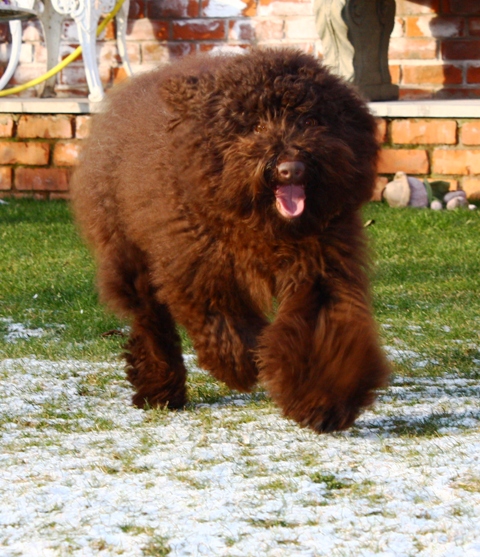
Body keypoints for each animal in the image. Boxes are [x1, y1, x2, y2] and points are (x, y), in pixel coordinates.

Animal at [72, 47, 390, 432]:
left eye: (311, 121)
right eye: (255, 126)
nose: (291, 168)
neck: (264, 224)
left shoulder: (320, 266)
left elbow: (321, 331)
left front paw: (326, 400)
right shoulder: (200, 266)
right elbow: (222, 323)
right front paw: (241, 364)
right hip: (128, 253)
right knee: (150, 320)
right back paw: (159, 386)